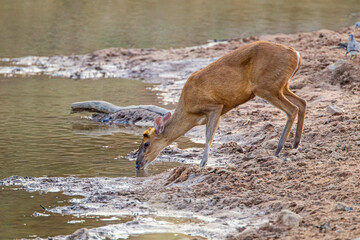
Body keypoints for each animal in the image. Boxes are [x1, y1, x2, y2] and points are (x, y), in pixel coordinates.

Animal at [136, 40, 306, 169]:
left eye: (146, 144)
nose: (138, 164)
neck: (188, 110)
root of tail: (296, 55)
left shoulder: (214, 107)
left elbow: (209, 135)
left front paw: (202, 164)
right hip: (281, 86)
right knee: (302, 103)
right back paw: (295, 145)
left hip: (267, 87)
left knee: (292, 109)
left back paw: (278, 150)